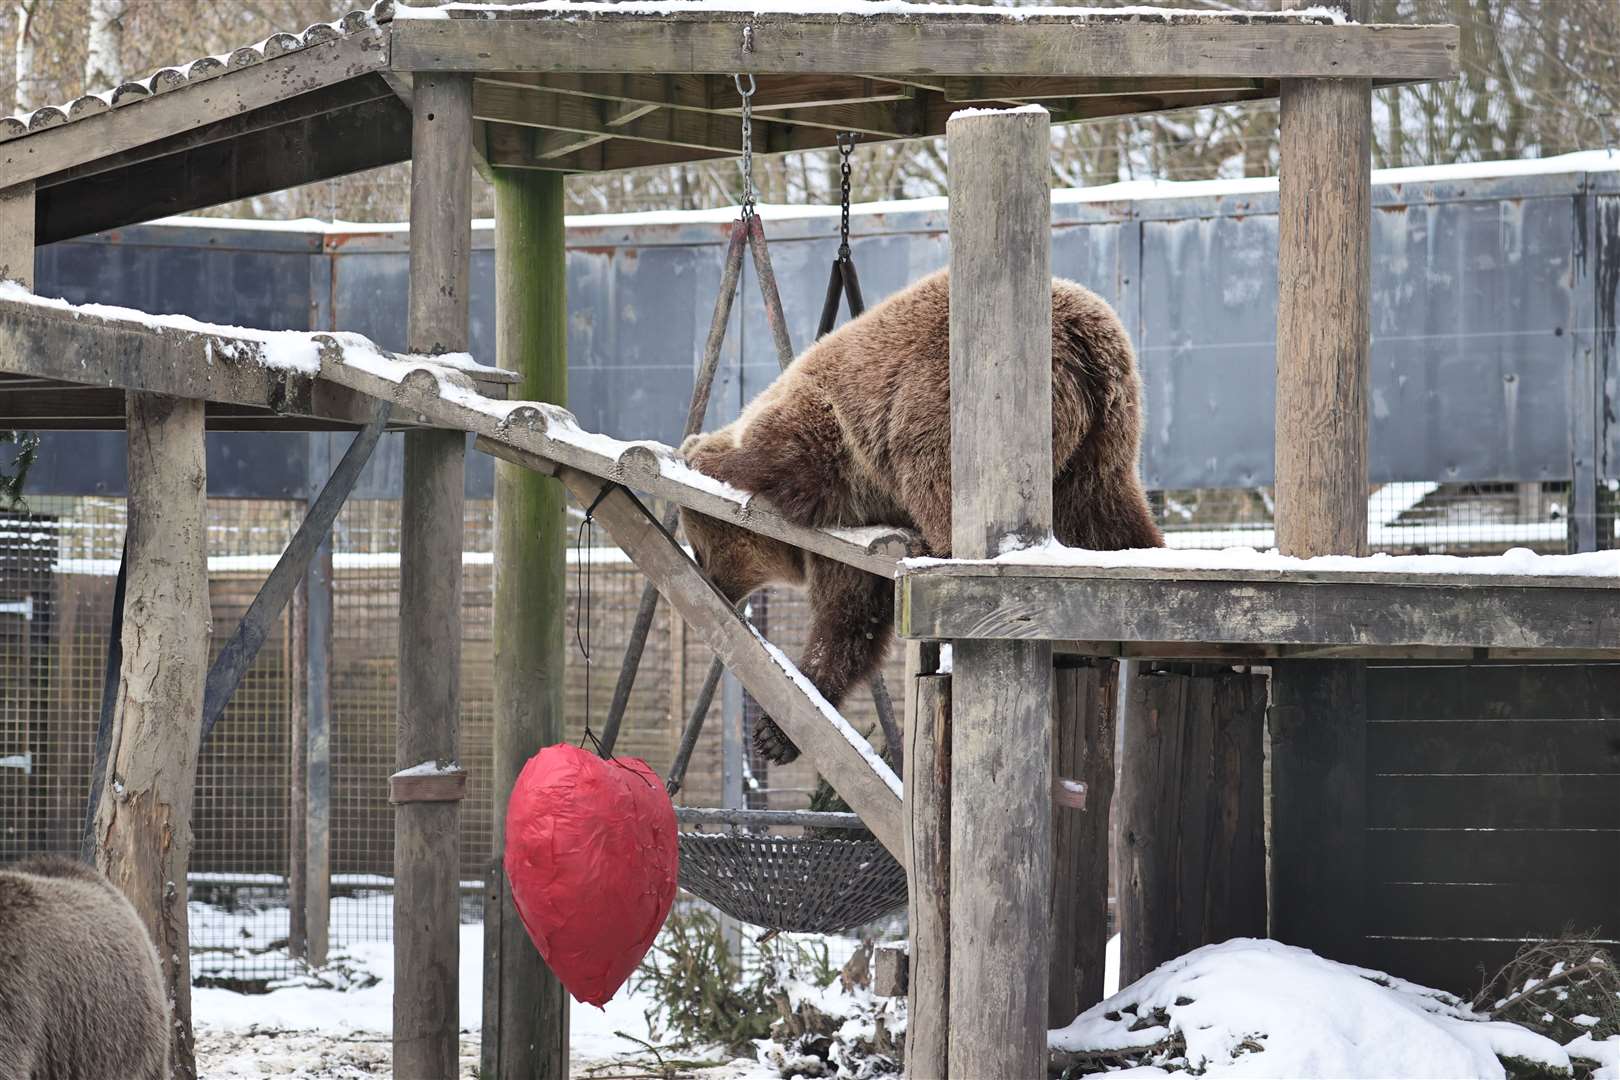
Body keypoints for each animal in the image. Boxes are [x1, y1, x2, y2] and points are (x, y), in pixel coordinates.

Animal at [677, 268, 1159, 767]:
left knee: (940, 479)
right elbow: (850, 619)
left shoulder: (835, 441)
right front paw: (776, 734)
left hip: (948, 399)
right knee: (1107, 517)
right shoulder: (849, 535)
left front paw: (711, 463)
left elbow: (787, 456)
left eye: (701, 548)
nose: (713, 583)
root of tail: (1083, 333)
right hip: (1102, 444)